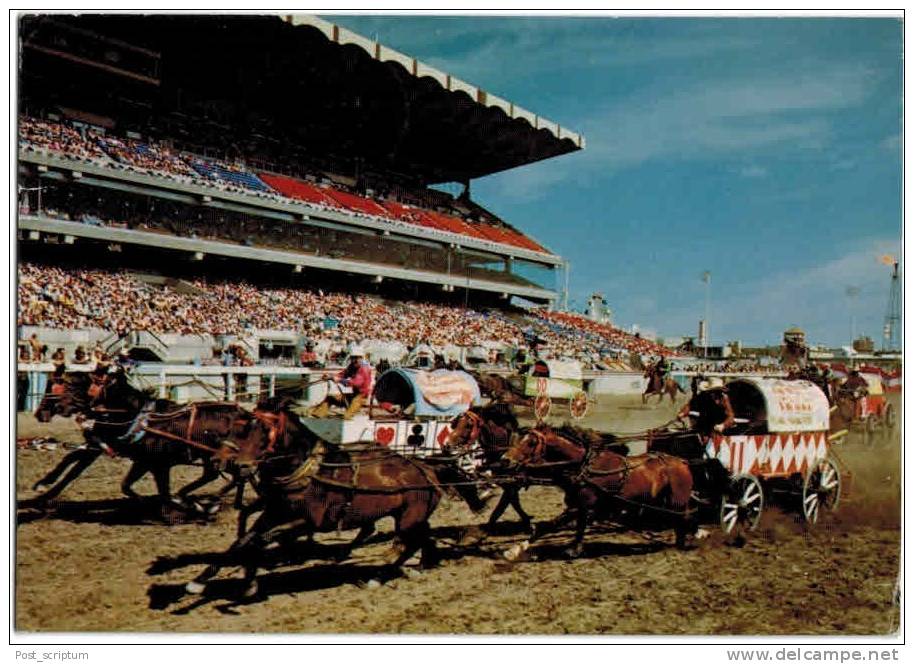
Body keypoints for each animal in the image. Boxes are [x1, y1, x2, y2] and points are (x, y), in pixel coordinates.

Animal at [183, 396, 440, 600]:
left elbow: (260, 540)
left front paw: (250, 580)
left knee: (407, 543)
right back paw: (419, 564)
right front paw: (200, 581)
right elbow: (241, 541)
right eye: (237, 428)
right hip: (405, 518)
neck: (306, 474)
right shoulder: (274, 513)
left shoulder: (310, 522)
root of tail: (424, 469)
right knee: (420, 537)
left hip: (408, 519)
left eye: (264, 430)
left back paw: (379, 576)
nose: (233, 464)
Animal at [506, 426, 692, 556]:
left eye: (531, 442)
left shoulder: (583, 505)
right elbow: (565, 526)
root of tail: (683, 462)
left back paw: (682, 544)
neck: (583, 465)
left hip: (677, 502)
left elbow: (556, 525)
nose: (504, 459)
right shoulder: (578, 505)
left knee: (682, 520)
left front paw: (514, 551)